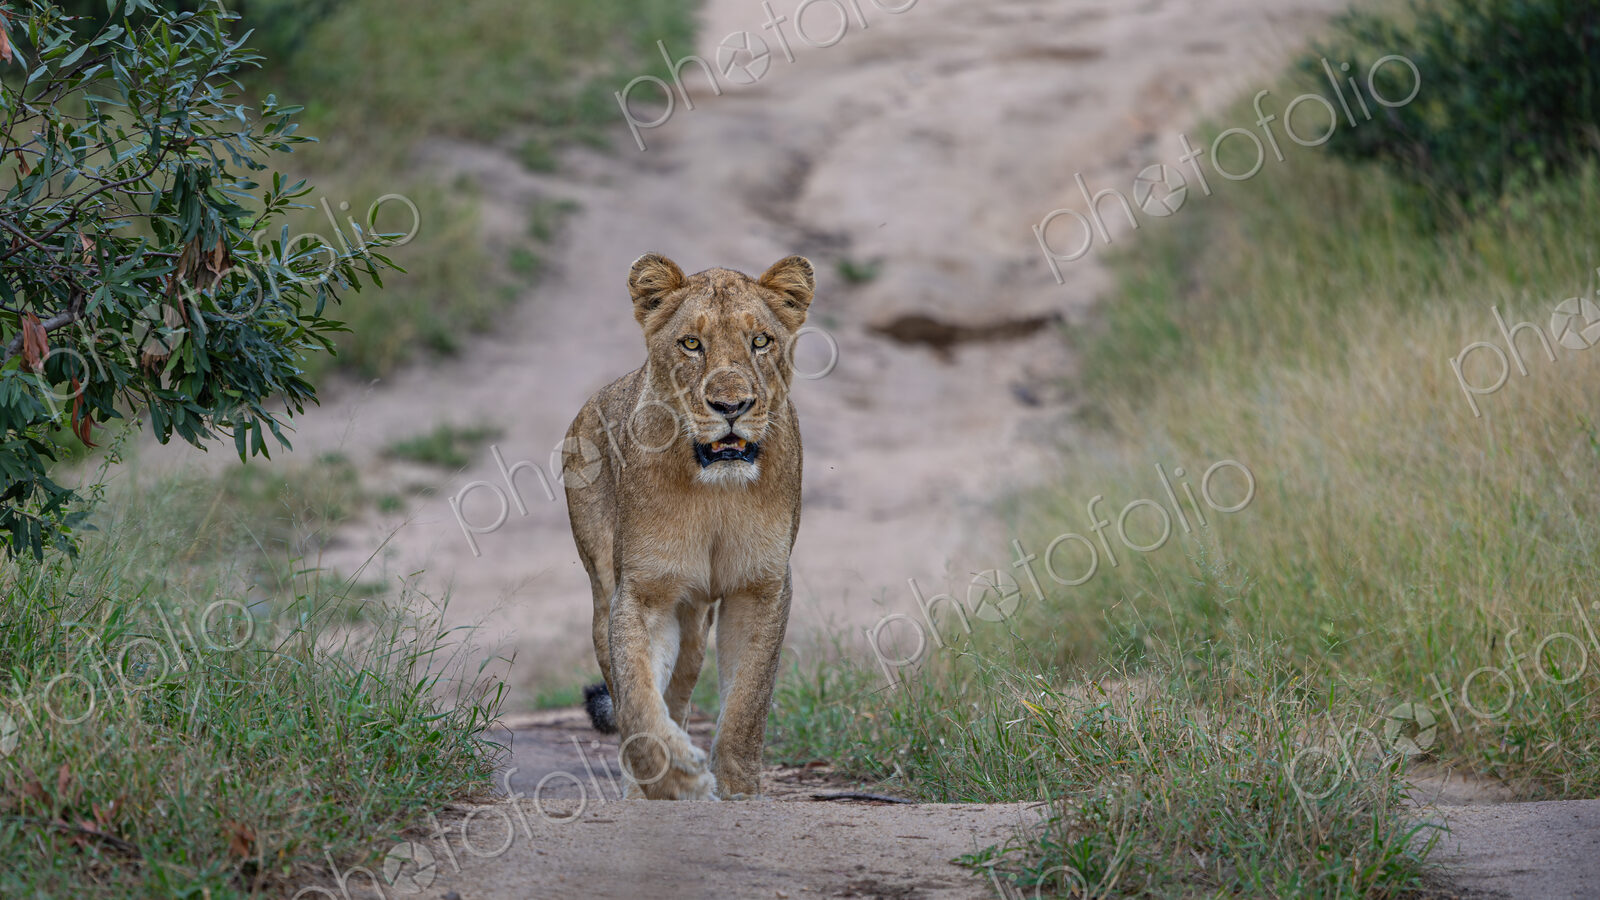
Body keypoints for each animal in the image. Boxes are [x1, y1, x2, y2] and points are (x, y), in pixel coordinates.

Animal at [562, 252, 814, 800]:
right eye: (691, 344)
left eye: (759, 341)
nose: (731, 407)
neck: (716, 493)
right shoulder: (644, 590)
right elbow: (637, 693)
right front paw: (672, 772)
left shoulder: (762, 587)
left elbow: (747, 704)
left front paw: (737, 790)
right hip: (604, 592)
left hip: (696, 626)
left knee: (680, 690)